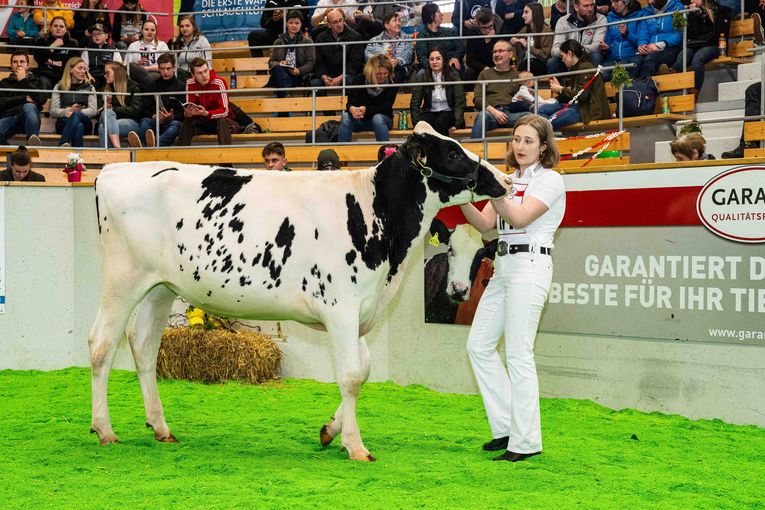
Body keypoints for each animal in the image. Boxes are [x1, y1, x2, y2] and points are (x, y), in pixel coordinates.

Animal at [88, 121, 508, 460]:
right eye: (452, 152)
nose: (502, 179)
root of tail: (115, 169)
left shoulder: (358, 309)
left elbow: (363, 370)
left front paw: (331, 430)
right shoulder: (341, 306)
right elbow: (350, 375)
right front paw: (355, 446)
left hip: (160, 286)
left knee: (143, 344)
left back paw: (161, 428)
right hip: (121, 279)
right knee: (101, 344)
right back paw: (104, 430)